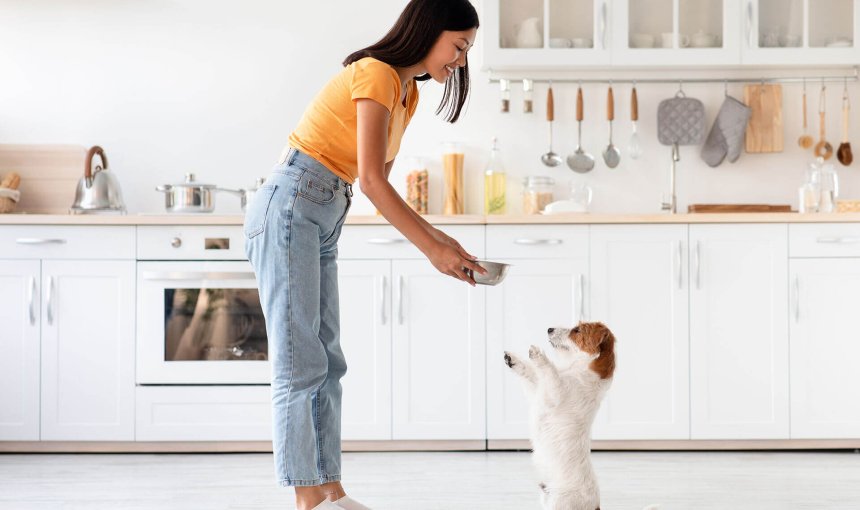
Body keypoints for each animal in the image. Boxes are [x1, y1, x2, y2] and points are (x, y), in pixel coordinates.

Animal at [504, 322, 620, 510]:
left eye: (577, 330)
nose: (549, 329)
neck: (580, 369)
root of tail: (596, 506)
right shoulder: (538, 392)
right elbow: (532, 373)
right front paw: (513, 359)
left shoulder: (555, 392)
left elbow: (550, 373)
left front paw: (539, 355)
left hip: (561, 503)